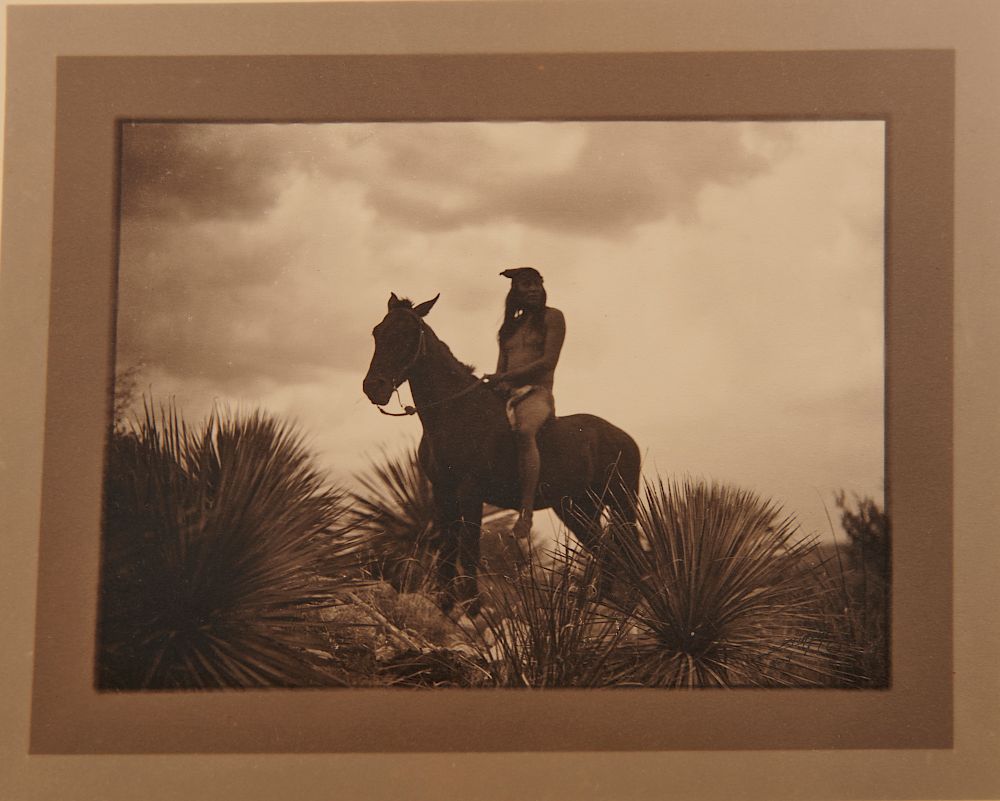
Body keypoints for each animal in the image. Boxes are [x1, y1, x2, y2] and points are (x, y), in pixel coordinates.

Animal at [362, 290, 640, 616]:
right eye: (377, 332)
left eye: (408, 333)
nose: (373, 387)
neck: (454, 412)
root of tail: (623, 436)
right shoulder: (442, 491)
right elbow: (447, 547)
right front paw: (445, 604)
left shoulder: (470, 491)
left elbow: (469, 547)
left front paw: (471, 608)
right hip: (578, 508)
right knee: (606, 552)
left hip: (621, 503)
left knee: (631, 553)